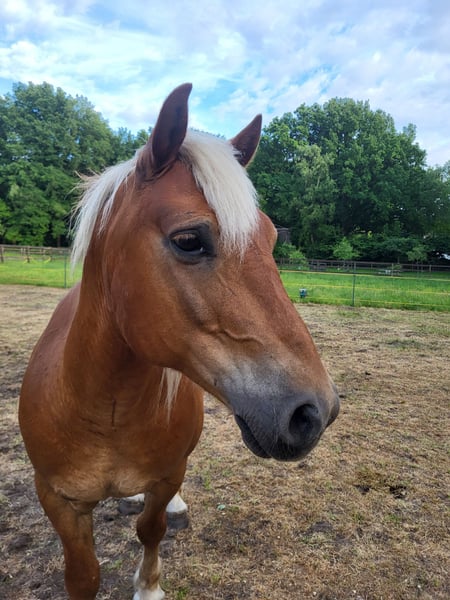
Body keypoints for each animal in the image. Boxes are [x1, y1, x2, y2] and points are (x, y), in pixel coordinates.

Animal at [19, 83, 339, 600]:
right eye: (189, 239)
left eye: (271, 239)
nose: (315, 412)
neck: (104, 411)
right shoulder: (57, 499)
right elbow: (83, 574)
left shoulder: (169, 474)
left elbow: (151, 530)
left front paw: (149, 586)